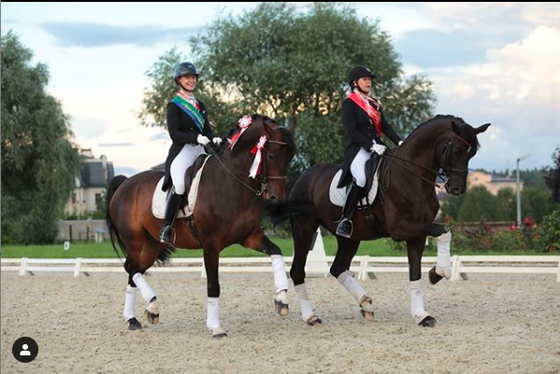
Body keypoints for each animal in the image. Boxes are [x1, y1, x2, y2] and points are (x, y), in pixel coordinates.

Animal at [106, 115, 298, 338]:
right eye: (271, 155)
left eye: (291, 156)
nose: (276, 197)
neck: (231, 182)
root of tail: (125, 183)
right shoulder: (211, 244)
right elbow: (213, 284)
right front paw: (216, 327)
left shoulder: (250, 237)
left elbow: (276, 252)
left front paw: (281, 299)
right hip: (135, 241)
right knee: (130, 268)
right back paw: (146, 309)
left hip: (153, 244)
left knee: (134, 271)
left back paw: (138, 317)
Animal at [268, 114, 490, 328]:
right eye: (457, 150)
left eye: (472, 154)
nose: (458, 189)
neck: (411, 176)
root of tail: (303, 176)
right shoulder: (400, 229)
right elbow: (443, 231)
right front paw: (440, 272)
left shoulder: (417, 234)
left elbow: (416, 273)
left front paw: (422, 315)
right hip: (304, 228)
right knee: (298, 271)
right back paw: (310, 317)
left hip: (350, 237)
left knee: (337, 268)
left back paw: (365, 303)